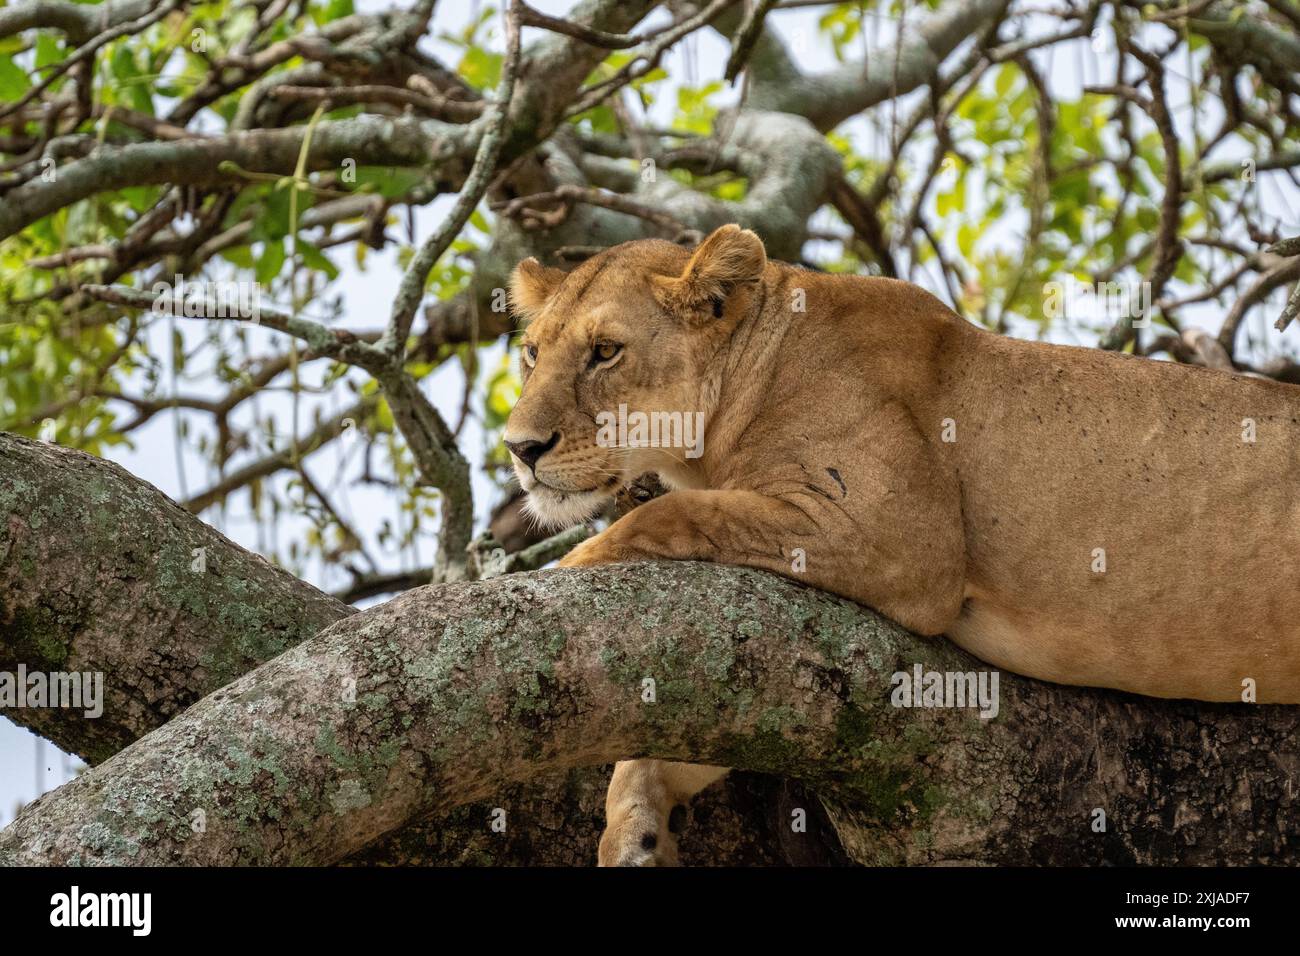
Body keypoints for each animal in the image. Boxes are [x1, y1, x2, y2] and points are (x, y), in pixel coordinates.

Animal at [503, 224, 1300, 866]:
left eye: (605, 352)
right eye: (532, 354)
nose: (520, 448)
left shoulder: (898, 533)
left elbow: (664, 516)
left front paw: (554, 574)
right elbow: (665, 752)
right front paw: (632, 835)